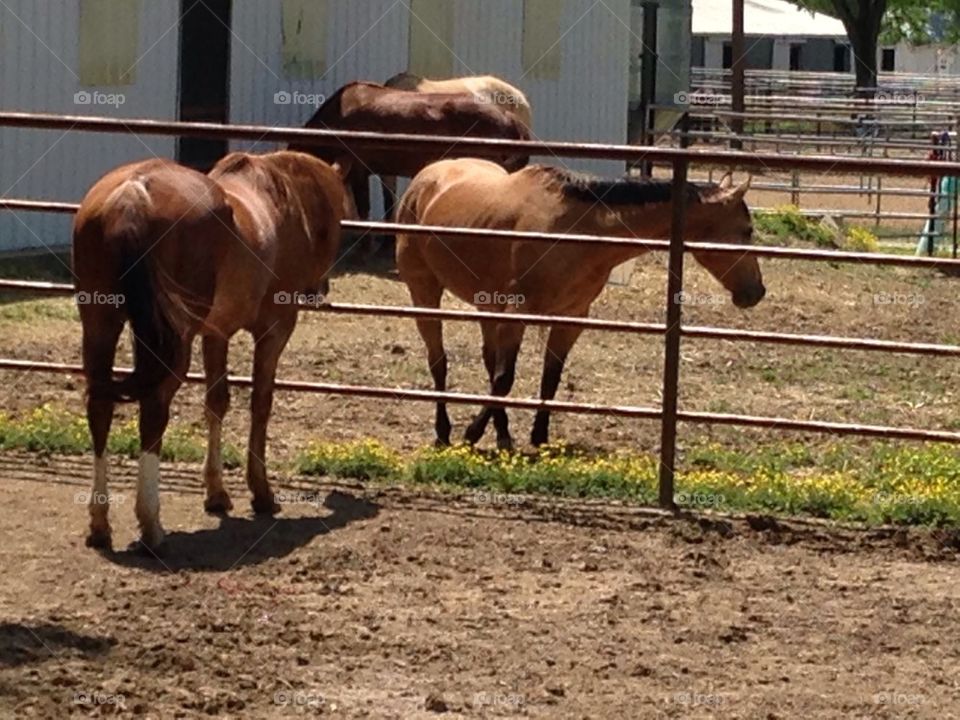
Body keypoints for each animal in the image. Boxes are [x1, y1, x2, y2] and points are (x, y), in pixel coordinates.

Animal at [73, 151, 349, 551]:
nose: (320, 289)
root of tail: (133, 194)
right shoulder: (274, 331)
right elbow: (260, 404)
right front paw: (261, 492)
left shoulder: (216, 335)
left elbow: (216, 403)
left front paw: (216, 493)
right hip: (172, 344)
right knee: (153, 410)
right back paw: (151, 523)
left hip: (100, 326)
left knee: (99, 407)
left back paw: (99, 523)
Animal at [395, 159, 766, 451]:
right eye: (747, 230)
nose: (756, 292)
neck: (580, 230)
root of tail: (424, 178)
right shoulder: (518, 313)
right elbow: (505, 380)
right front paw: (472, 433)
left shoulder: (571, 317)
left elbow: (548, 378)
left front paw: (538, 436)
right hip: (425, 292)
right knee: (439, 363)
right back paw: (444, 432)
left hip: (487, 304)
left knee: (489, 363)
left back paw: (502, 436)